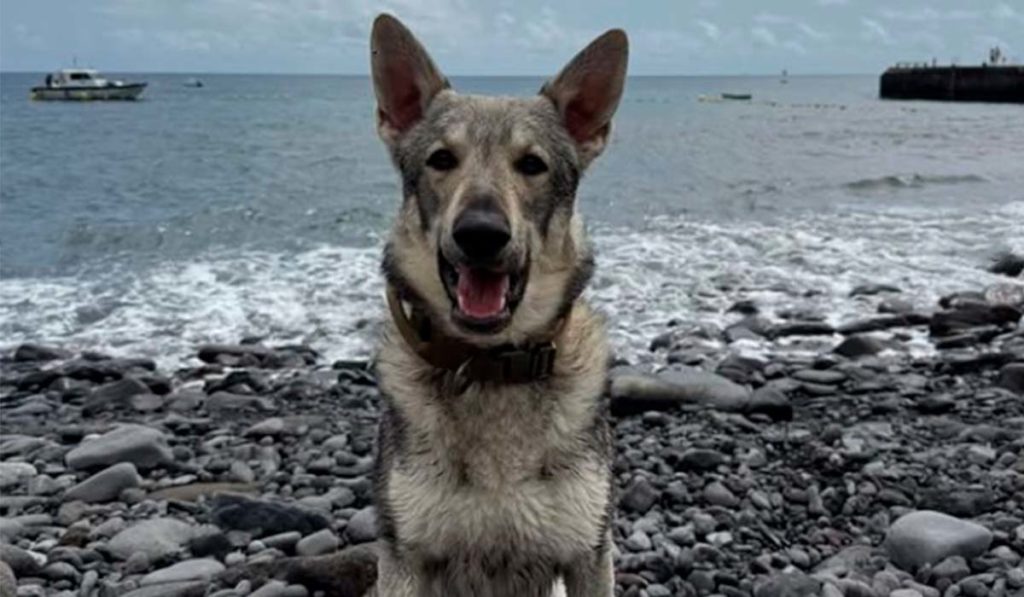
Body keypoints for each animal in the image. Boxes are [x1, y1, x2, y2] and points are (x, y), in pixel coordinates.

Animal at [369, 13, 628, 597]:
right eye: (442, 160)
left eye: (532, 165)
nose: (481, 233)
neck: (491, 368)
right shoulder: (405, 558)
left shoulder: (588, 553)